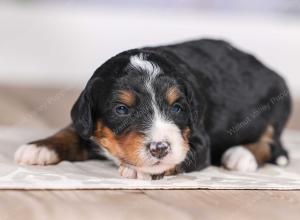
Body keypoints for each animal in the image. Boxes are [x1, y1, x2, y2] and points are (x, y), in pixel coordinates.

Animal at [14, 39, 290, 180]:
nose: (160, 148)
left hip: (277, 107)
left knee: (273, 143)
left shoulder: (199, 141)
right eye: (121, 109)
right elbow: (71, 132)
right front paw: (39, 148)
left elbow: (180, 158)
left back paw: (242, 156)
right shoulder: (87, 124)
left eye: (177, 107)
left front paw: (137, 169)